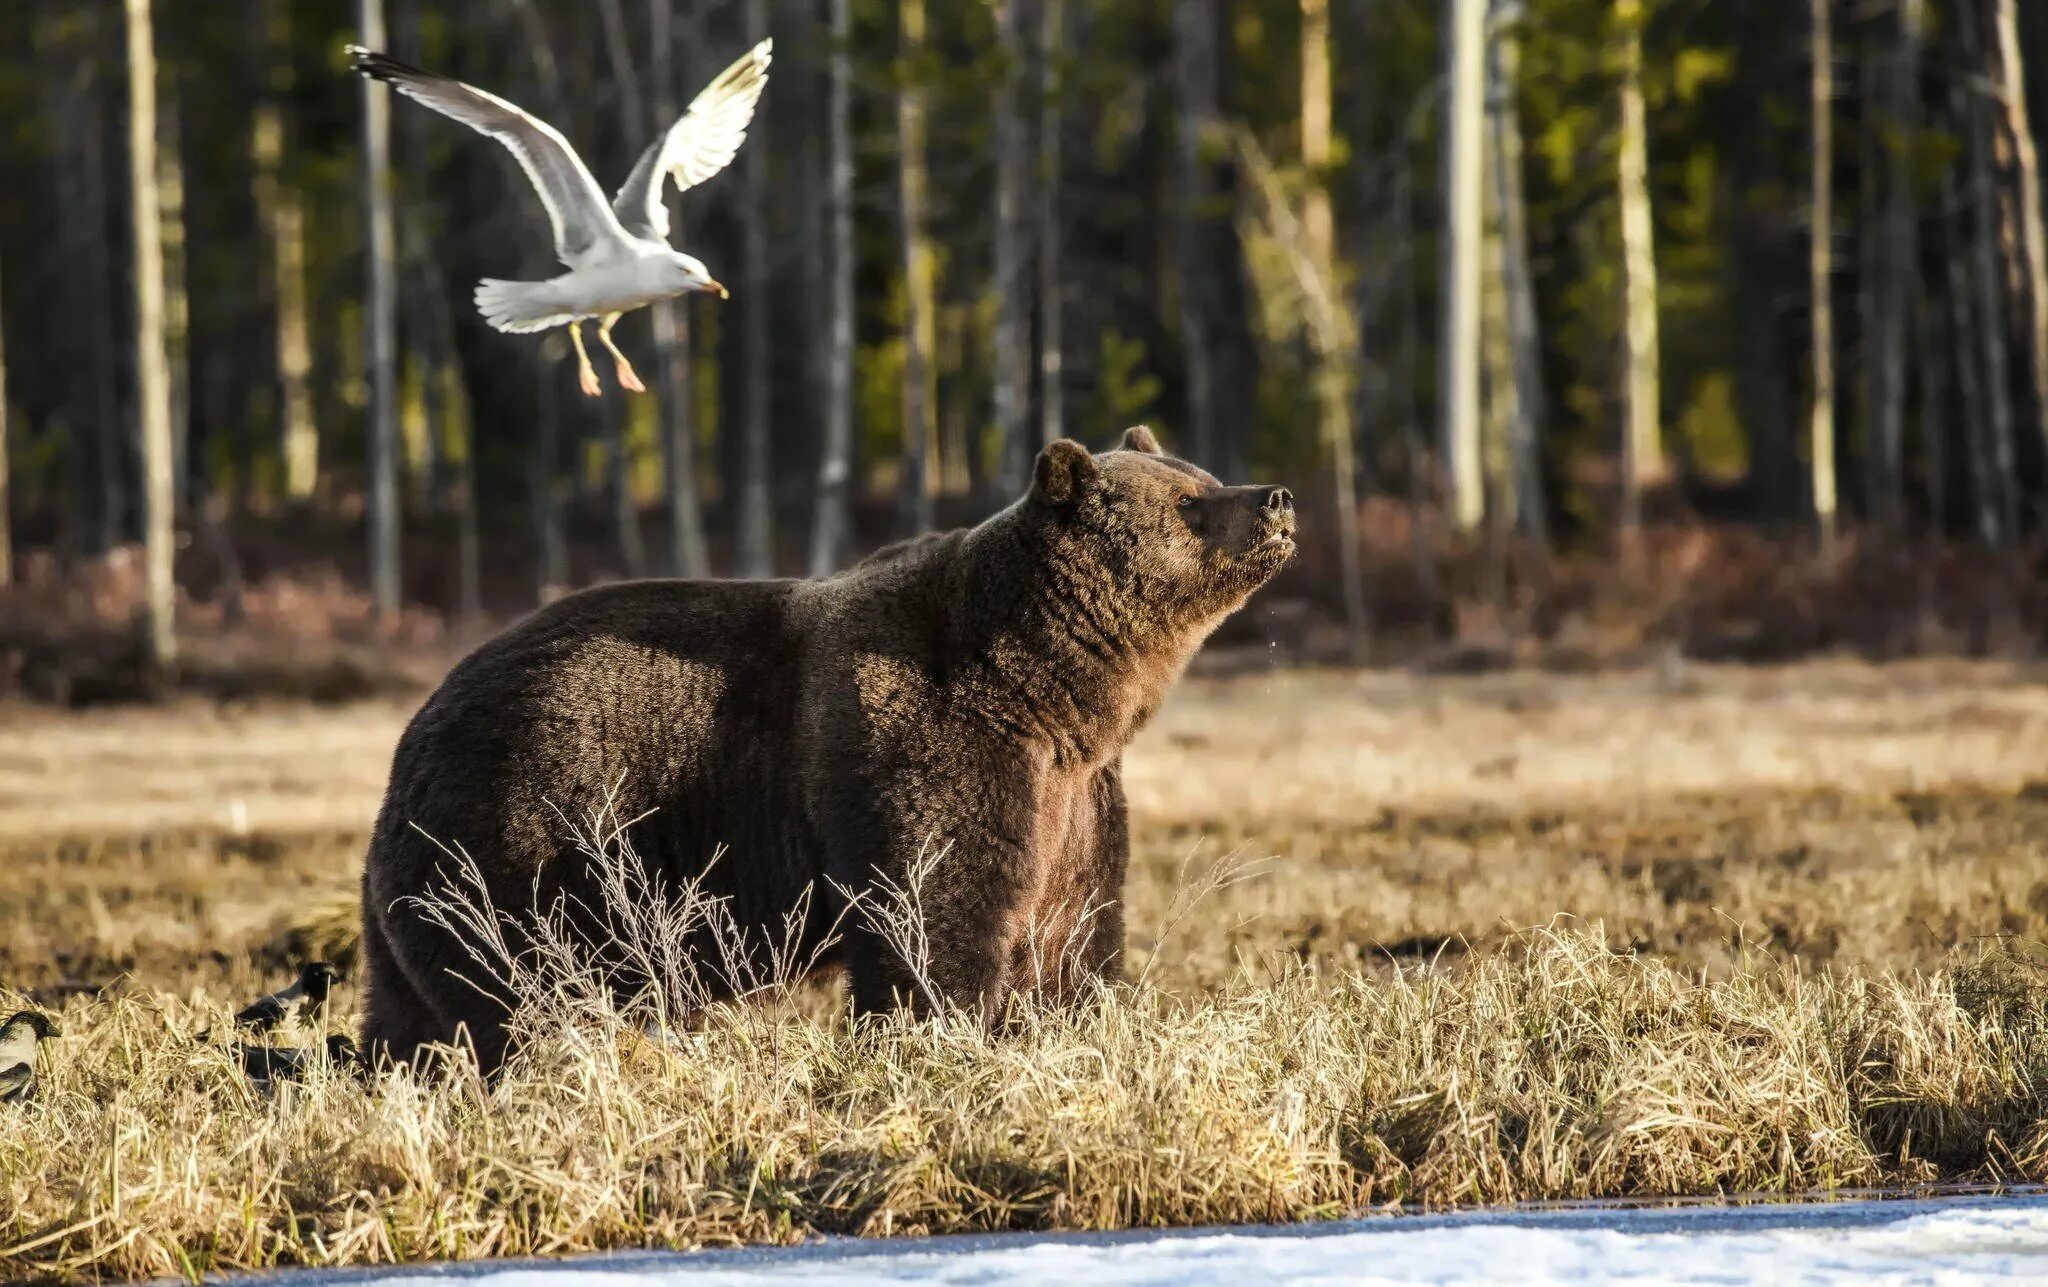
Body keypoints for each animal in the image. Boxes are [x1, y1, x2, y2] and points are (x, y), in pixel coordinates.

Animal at [358, 428, 1286, 1073]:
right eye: (1189, 502)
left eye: (1202, 478)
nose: (1275, 497)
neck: (1049, 692)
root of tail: (411, 739)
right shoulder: (926, 742)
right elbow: (932, 914)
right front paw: (940, 1035)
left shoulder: (1074, 797)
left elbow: (1072, 931)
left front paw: (1064, 1025)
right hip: (530, 834)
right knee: (520, 989)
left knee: (410, 1017)